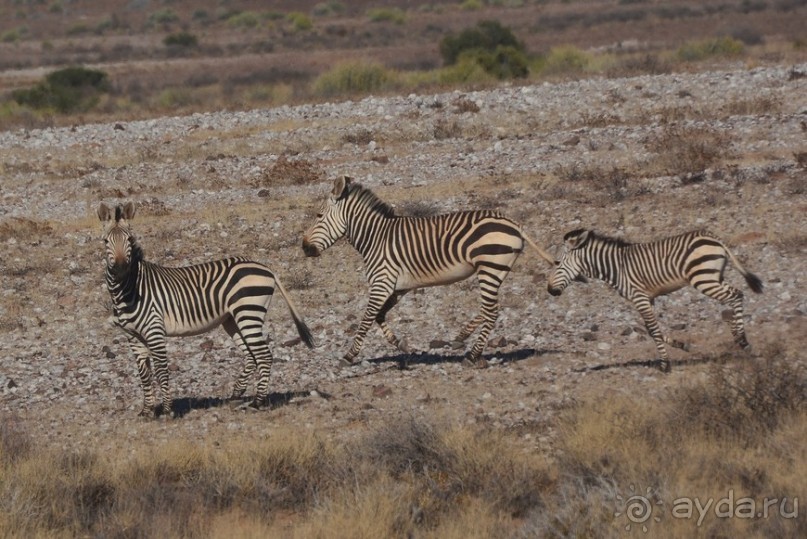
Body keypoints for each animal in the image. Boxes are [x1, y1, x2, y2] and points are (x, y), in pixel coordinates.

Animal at [98, 202, 316, 418]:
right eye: (105, 241)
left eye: (129, 239)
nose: (121, 270)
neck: (129, 291)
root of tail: (266, 268)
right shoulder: (133, 336)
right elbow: (144, 375)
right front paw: (146, 410)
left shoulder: (154, 330)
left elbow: (161, 371)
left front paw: (167, 411)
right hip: (232, 320)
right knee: (251, 356)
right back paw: (236, 395)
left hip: (248, 312)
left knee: (263, 355)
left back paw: (257, 402)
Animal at [300, 175, 560, 370]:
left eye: (319, 216)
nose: (304, 248)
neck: (376, 238)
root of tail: (515, 224)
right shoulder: (398, 288)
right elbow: (379, 316)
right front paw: (401, 345)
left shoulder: (382, 282)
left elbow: (366, 319)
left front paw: (348, 356)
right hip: (496, 269)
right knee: (489, 309)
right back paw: (460, 339)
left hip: (489, 267)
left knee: (491, 311)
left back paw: (472, 356)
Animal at [548, 228, 764, 372]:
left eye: (557, 263)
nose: (550, 290)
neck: (616, 268)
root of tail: (714, 238)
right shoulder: (648, 298)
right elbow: (652, 331)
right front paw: (682, 346)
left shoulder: (639, 297)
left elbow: (652, 329)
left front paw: (665, 364)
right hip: (713, 277)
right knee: (737, 294)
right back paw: (737, 336)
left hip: (703, 279)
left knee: (735, 295)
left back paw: (743, 340)